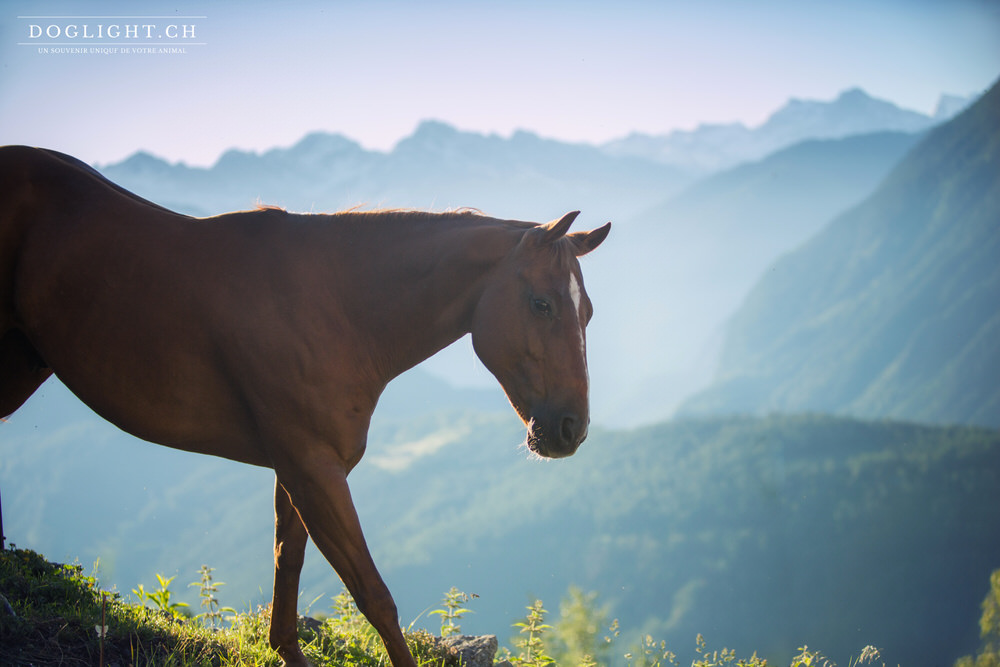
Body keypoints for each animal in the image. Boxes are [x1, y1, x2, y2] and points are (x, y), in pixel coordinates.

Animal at [0, 146, 608, 667]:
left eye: (588, 313)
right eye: (541, 304)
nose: (571, 429)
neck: (337, 307)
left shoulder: (301, 469)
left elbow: (286, 559)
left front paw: (285, 649)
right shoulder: (313, 469)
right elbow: (373, 595)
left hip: (23, 361)